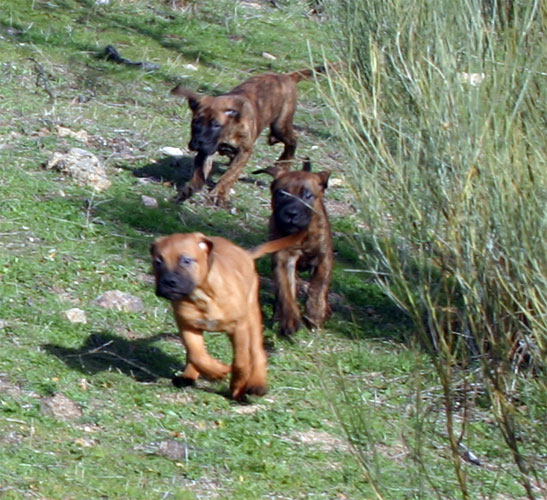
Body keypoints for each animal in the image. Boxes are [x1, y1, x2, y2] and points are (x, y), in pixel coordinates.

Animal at [150, 232, 304, 400]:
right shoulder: (187, 325)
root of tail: (245, 254)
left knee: (257, 352)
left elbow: (241, 362)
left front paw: (237, 387)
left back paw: (257, 384)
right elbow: (197, 354)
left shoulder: (239, 328)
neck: (202, 296)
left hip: (252, 317)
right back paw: (188, 376)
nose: (168, 282)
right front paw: (216, 371)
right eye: (158, 262)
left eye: (186, 260)